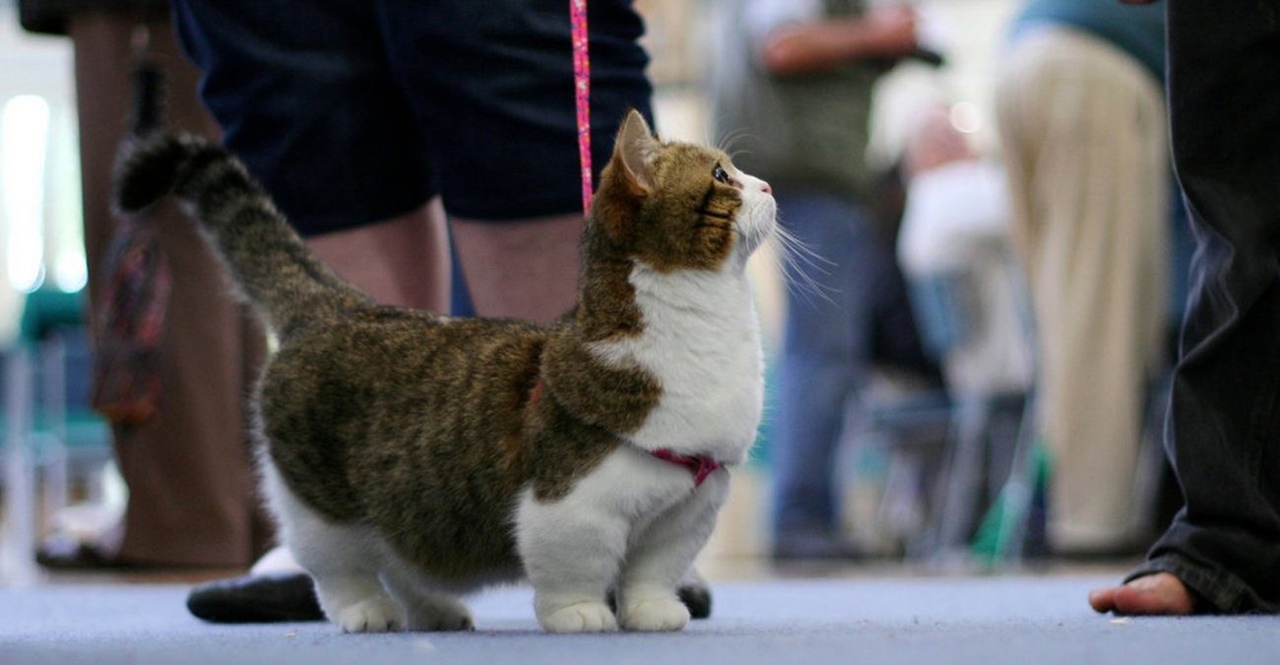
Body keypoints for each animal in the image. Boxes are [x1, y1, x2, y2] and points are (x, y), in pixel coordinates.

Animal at [115, 110, 773, 634]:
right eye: (721, 176)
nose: (767, 183)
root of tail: (338, 304)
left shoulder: (686, 511)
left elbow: (652, 573)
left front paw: (651, 612)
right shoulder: (570, 505)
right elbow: (576, 570)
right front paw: (580, 615)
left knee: (402, 557)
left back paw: (433, 610)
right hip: (318, 503)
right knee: (340, 567)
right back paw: (366, 612)